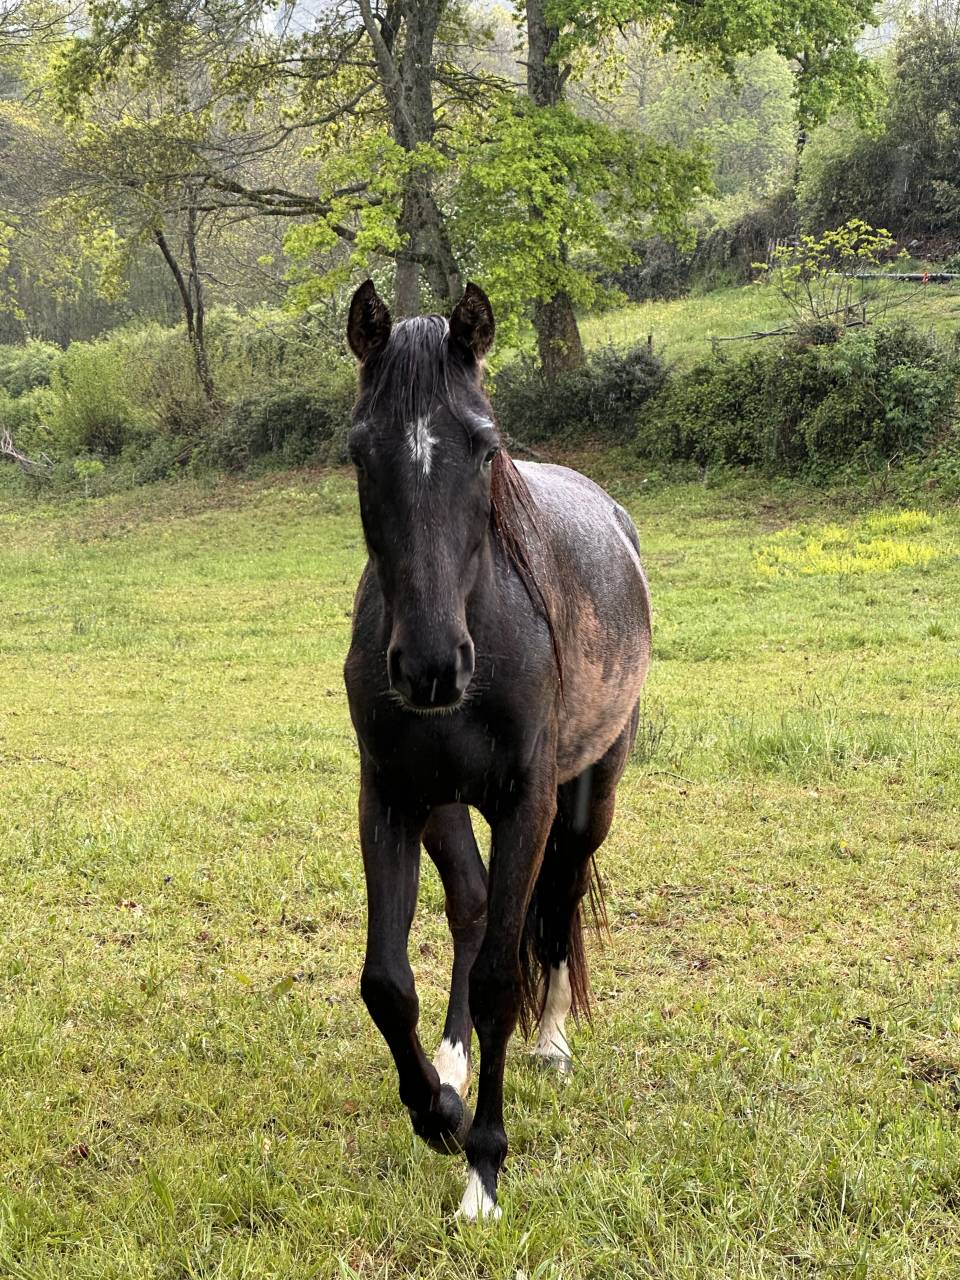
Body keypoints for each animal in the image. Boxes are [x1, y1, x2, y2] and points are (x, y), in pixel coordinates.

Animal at [343, 279, 652, 1220]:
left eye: (484, 448)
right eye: (359, 454)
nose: (432, 666)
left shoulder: (528, 803)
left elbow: (499, 983)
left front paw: (482, 1166)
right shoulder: (391, 798)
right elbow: (386, 982)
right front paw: (438, 1111)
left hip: (588, 800)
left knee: (555, 907)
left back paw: (550, 1041)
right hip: (444, 803)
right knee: (476, 909)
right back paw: (452, 1062)